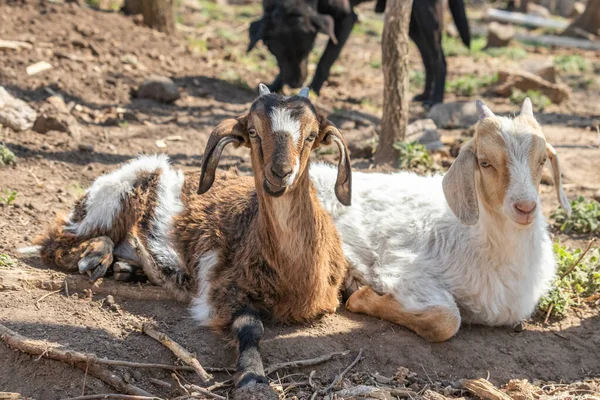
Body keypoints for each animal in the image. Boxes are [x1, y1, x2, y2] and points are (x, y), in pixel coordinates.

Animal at [31, 85, 352, 394]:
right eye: (253, 131)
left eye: (311, 135)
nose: (281, 173)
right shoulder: (224, 290)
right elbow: (250, 328)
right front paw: (252, 378)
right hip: (117, 192)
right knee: (57, 241)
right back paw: (96, 256)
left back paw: (126, 268)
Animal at [310, 98, 572, 342]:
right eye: (485, 162)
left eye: (542, 161)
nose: (525, 207)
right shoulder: (406, 271)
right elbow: (446, 319)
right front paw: (360, 296)